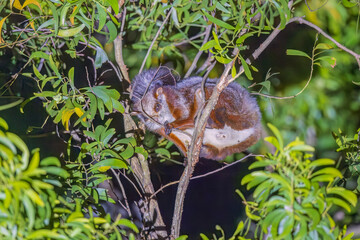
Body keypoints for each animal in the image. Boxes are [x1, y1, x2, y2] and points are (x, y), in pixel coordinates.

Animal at [131, 67, 260, 161]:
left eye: (157, 107)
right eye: (146, 118)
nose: (157, 119)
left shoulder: (176, 100)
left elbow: (186, 116)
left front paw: (173, 125)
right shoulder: (159, 129)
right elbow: (175, 137)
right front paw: (187, 157)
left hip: (226, 99)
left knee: (201, 92)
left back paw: (210, 122)